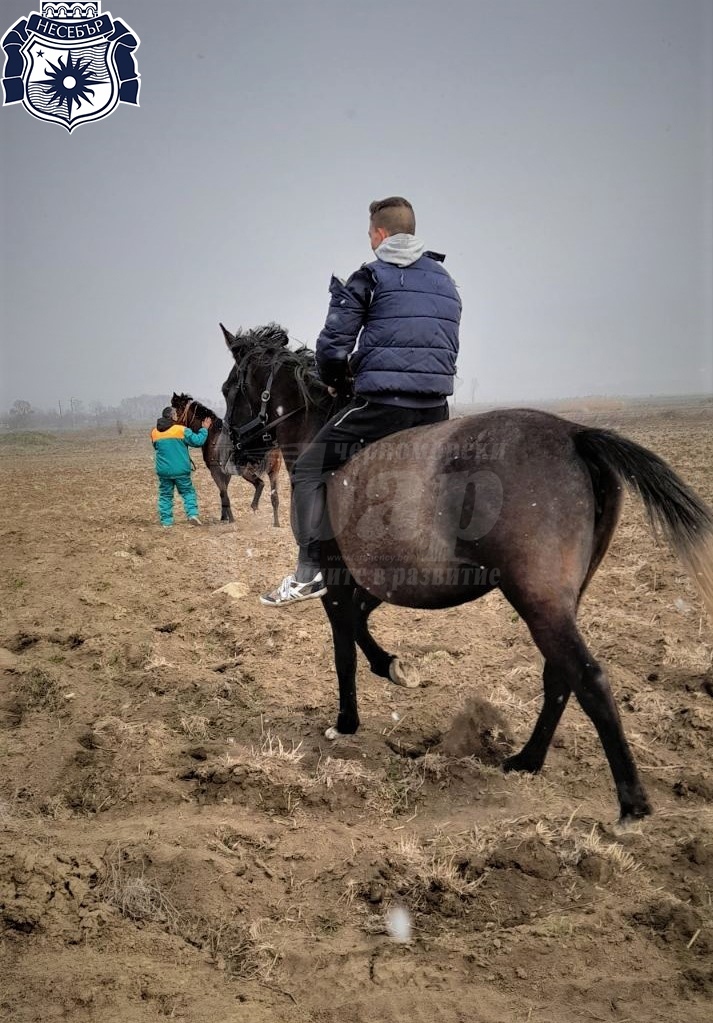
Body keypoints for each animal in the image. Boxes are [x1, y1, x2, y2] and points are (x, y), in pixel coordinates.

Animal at [170, 392, 282, 527]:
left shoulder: (215, 472)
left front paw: (231, 519)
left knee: (260, 484)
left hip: (246, 470)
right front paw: (224, 517)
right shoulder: (226, 473)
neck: (211, 434)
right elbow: (223, 493)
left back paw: (254, 506)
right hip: (274, 470)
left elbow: (224, 493)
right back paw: (276, 523)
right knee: (274, 496)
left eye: (176, 409)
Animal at [217, 327, 711, 822]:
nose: (231, 454)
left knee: (588, 677)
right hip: (560, 601)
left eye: (228, 389)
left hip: (538, 600)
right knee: (559, 676)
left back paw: (631, 803)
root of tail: (575, 435)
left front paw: (346, 722)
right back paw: (527, 761)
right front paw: (393, 666)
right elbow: (360, 626)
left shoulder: (337, 582)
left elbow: (344, 651)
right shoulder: (380, 580)